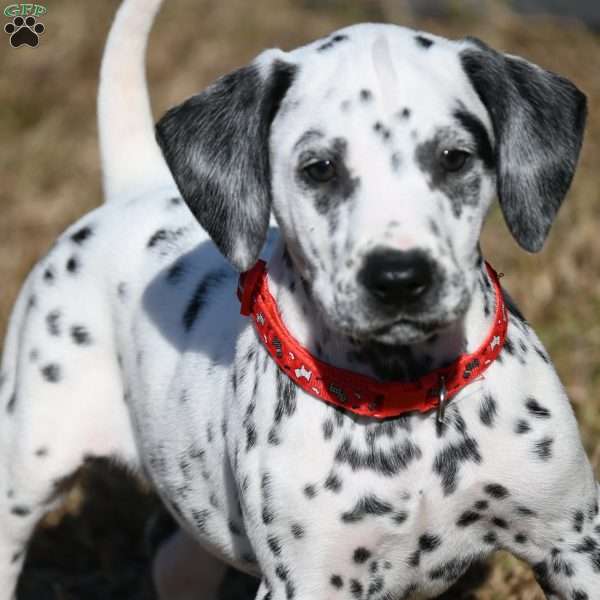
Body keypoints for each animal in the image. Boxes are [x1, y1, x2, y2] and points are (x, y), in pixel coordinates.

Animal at [0, 1, 596, 600]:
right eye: (320, 168)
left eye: (454, 158)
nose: (399, 277)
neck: (404, 396)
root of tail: (132, 187)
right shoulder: (311, 582)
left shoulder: (572, 545)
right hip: (24, 473)